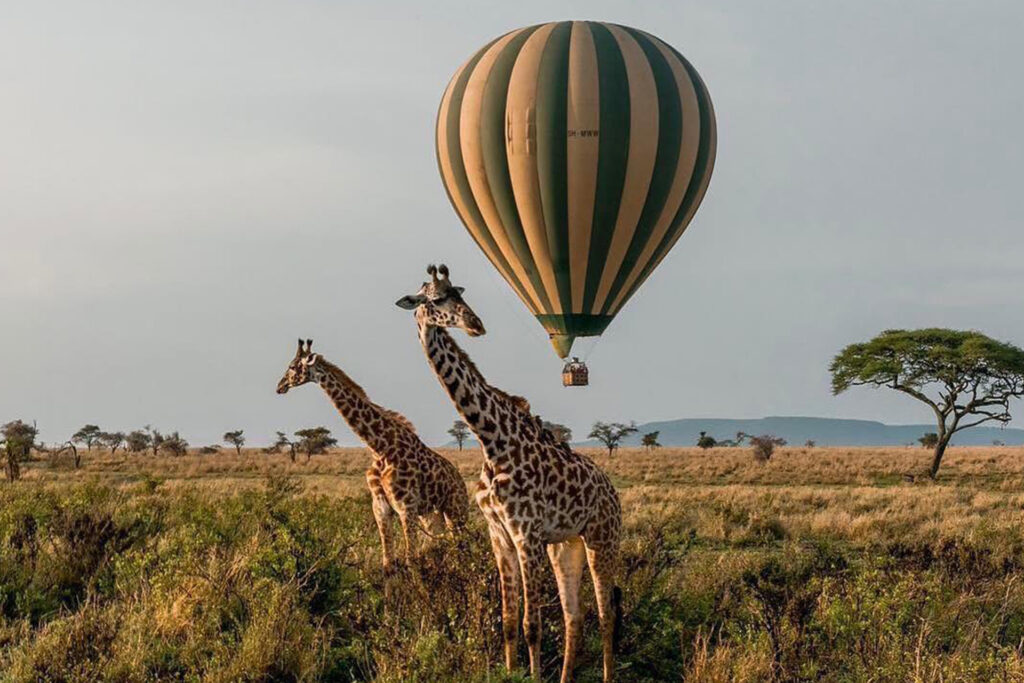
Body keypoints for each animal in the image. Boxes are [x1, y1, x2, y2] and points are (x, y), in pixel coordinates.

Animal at [276, 339, 468, 569]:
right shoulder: (381, 507)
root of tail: (461, 481)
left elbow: (411, 560)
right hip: (432, 516)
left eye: (293, 366)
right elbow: (388, 564)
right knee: (446, 545)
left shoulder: (406, 507)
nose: (279, 386)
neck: (380, 447)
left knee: (463, 548)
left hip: (455, 511)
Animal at [399, 266, 622, 683]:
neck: (490, 438)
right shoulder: (499, 535)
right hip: (565, 544)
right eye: (435, 299)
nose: (476, 324)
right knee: (574, 616)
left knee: (606, 615)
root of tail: (612, 491)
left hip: (602, 537)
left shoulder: (526, 535)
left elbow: (531, 625)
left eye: (459, 293)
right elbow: (507, 622)